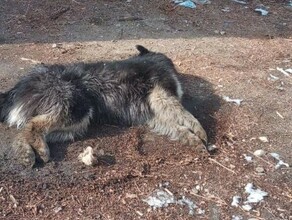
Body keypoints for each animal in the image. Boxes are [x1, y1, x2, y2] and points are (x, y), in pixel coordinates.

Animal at [0, 46, 208, 167]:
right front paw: (200, 132)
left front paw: (191, 139)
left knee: (25, 130)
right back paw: (35, 152)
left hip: (75, 123)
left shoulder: (153, 114)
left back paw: (27, 153)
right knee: (33, 125)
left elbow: (177, 127)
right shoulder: (161, 95)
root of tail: (16, 88)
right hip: (76, 107)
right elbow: (186, 115)